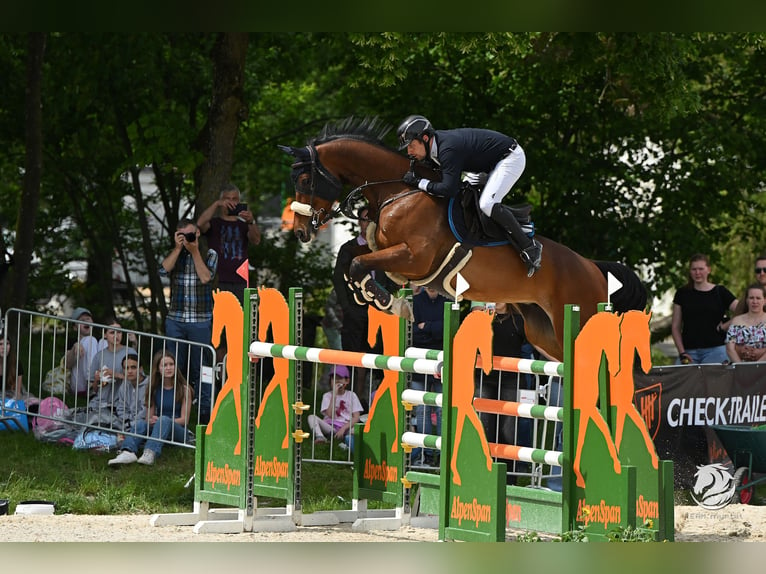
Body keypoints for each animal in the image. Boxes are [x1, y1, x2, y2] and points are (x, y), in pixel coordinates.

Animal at [280, 117, 644, 362]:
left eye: (304, 179)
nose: (300, 231)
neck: (398, 190)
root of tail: (593, 268)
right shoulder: (398, 257)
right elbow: (364, 262)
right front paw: (382, 298)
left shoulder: (415, 256)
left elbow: (358, 262)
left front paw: (384, 300)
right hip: (542, 331)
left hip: (578, 317)